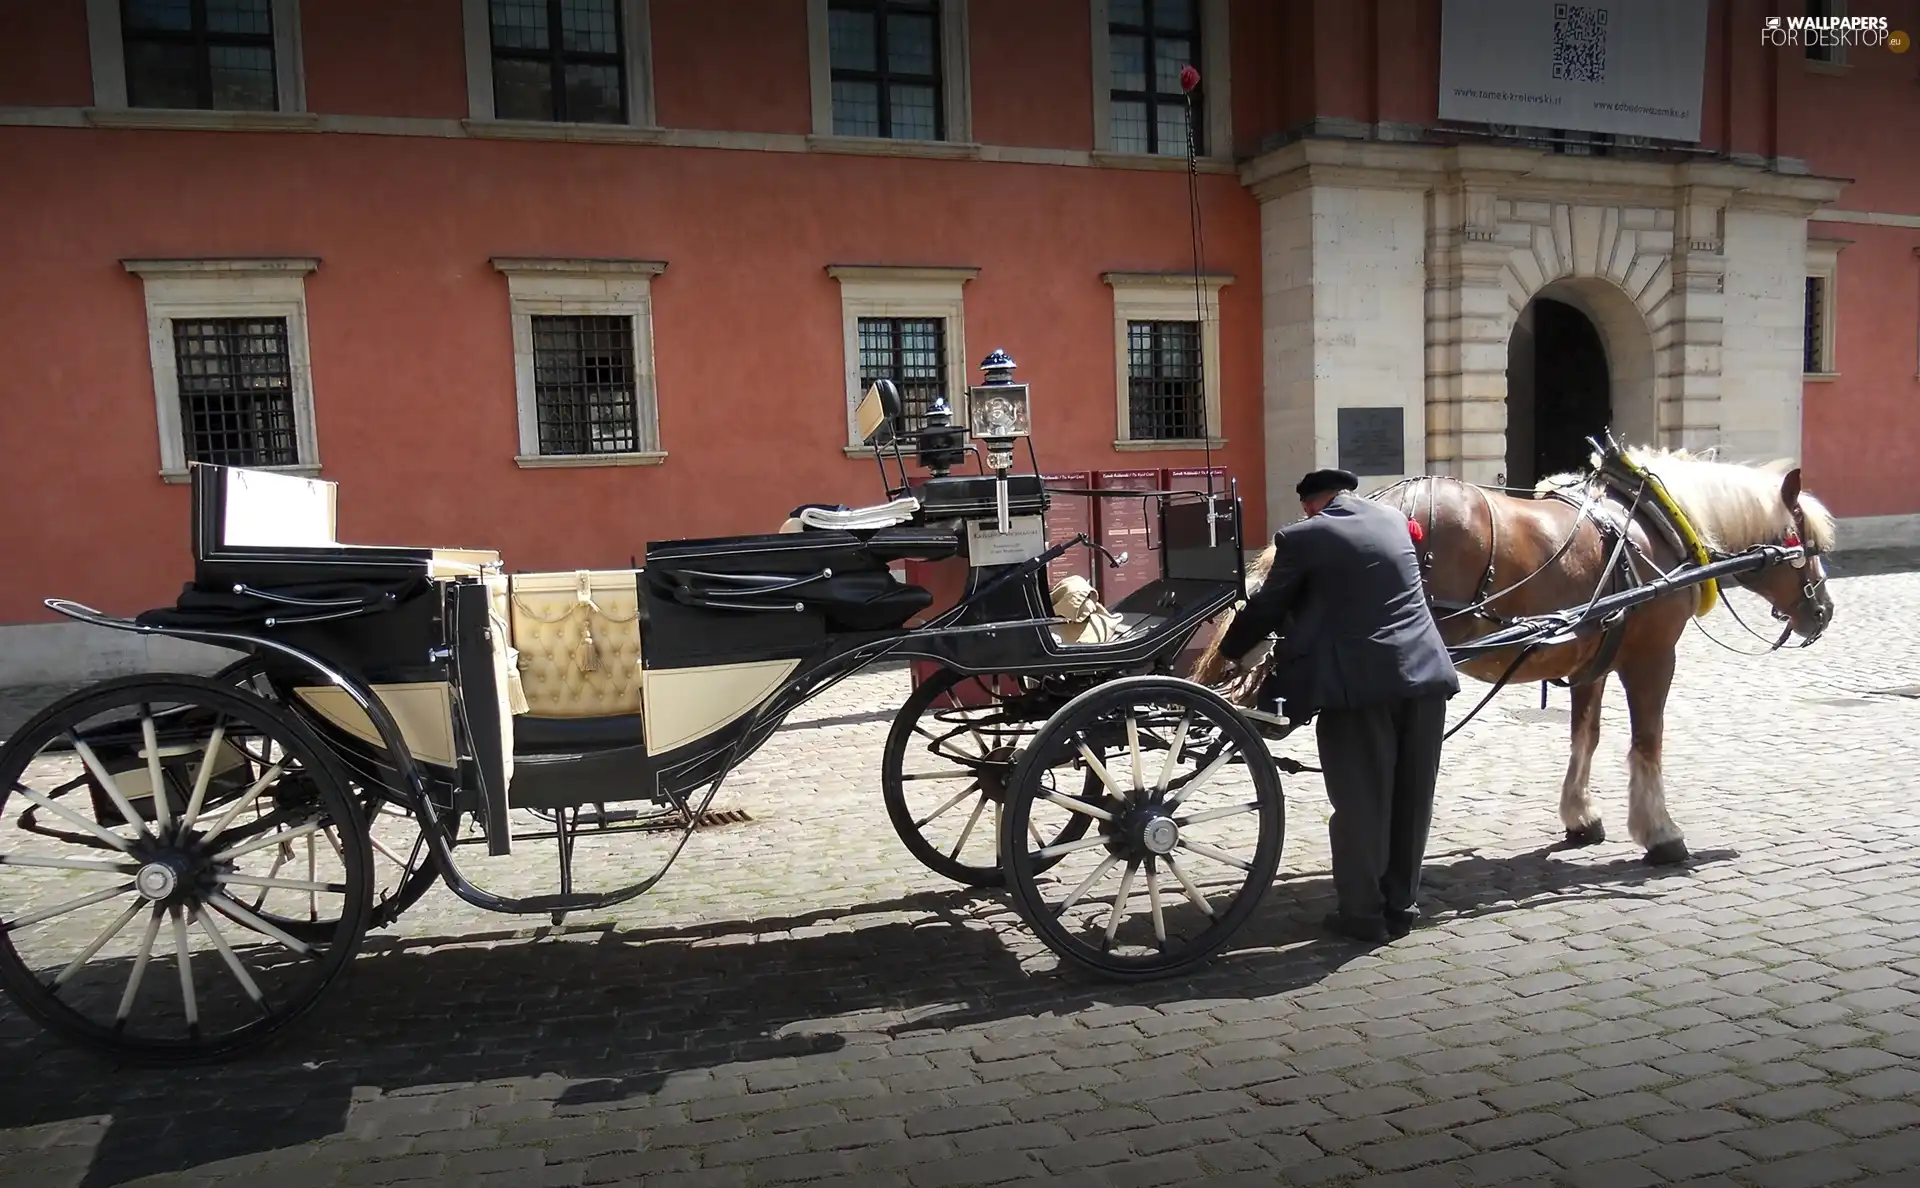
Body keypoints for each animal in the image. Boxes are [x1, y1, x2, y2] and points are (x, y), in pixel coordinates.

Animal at [1190, 445, 1835, 863]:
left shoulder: (1591, 659)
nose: (1824, 611)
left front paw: (1580, 815)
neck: (1650, 526)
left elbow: (1585, 736)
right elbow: (1646, 743)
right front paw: (1660, 833)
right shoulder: (1652, 658)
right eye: (1808, 539)